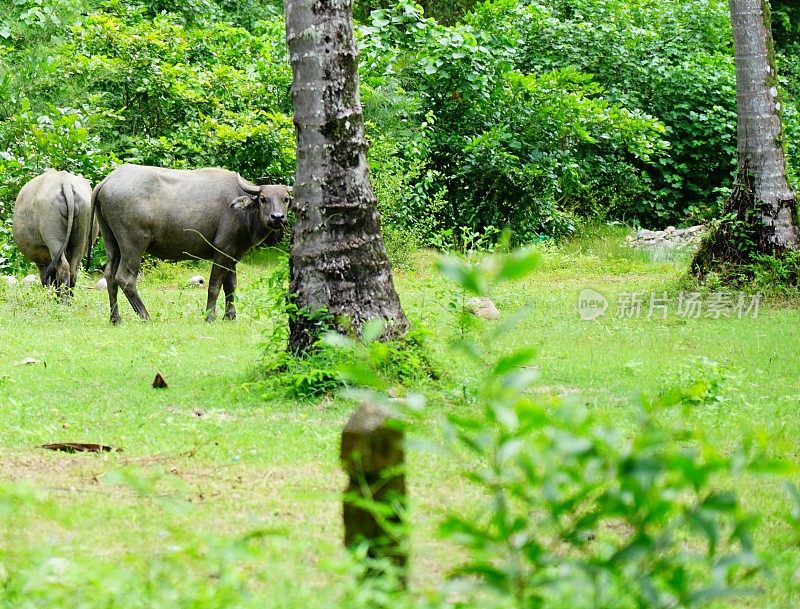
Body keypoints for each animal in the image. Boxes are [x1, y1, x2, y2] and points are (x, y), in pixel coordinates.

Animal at [93, 162, 290, 324]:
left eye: (286, 199)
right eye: (263, 199)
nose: (277, 217)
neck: (243, 212)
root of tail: (108, 181)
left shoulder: (232, 255)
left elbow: (231, 286)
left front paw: (230, 316)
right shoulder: (222, 250)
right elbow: (214, 285)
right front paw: (210, 317)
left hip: (111, 241)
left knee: (109, 275)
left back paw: (115, 319)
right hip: (134, 243)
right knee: (125, 278)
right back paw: (145, 316)